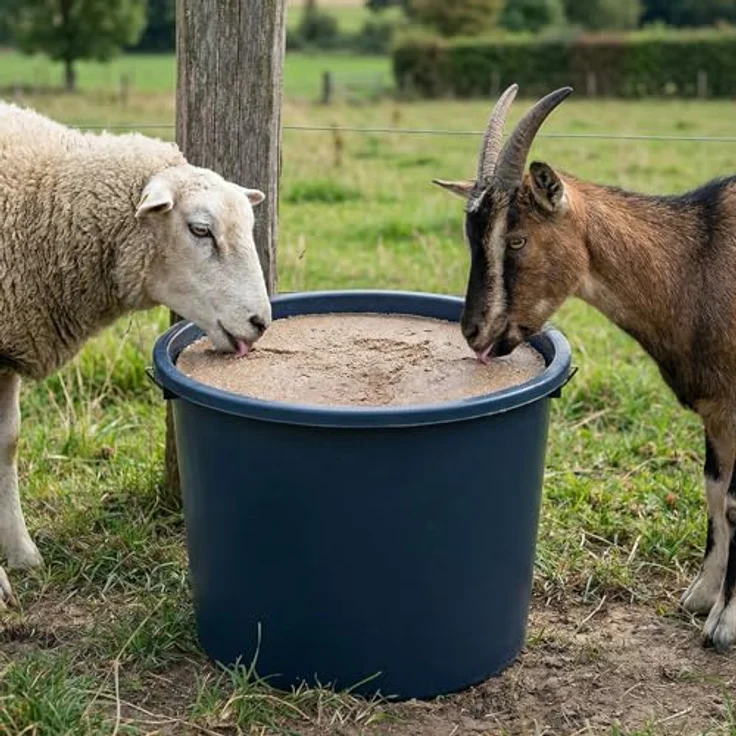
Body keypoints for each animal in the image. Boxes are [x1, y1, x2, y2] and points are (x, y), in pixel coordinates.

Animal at [434, 83, 736, 653]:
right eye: (470, 237)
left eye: (516, 239)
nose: (473, 332)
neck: (698, 262)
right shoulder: (717, 411)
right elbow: (714, 492)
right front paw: (702, 596)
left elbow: (733, 501)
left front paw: (726, 622)